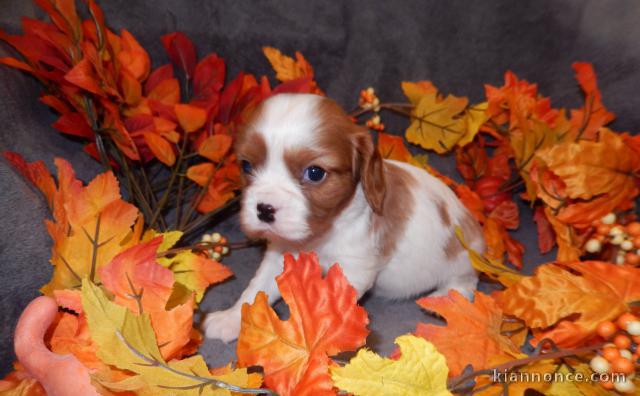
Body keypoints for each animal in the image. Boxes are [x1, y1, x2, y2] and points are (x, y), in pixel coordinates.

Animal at [202, 93, 482, 344]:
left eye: (315, 173)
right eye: (247, 166)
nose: (264, 209)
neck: (322, 232)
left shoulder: (353, 268)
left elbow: (334, 308)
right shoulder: (281, 254)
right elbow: (256, 288)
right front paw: (232, 318)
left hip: (461, 260)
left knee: (465, 283)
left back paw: (443, 298)